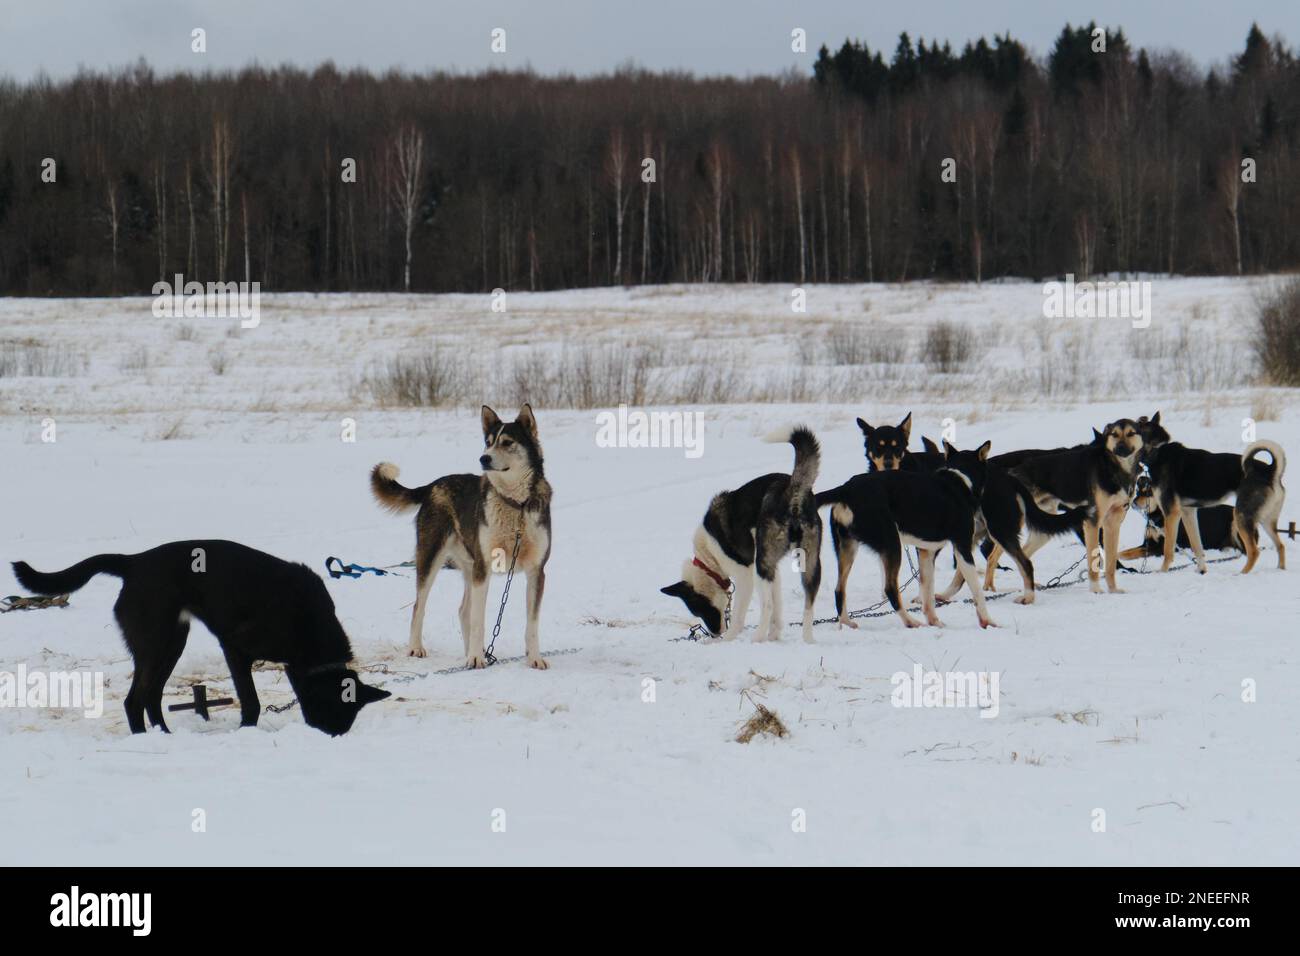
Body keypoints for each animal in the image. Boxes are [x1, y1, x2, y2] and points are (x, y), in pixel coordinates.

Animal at [11, 541, 390, 738]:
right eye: (330, 712)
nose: (329, 738)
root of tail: (134, 562)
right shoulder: (234, 646)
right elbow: (251, 701)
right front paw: (246, 732)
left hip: (172, 643)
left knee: (152, 696)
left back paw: (165, 736)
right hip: (155, 643)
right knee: (135, 700)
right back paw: (147, 739)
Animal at [377, 408, 559, 671]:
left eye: (507, 442)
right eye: (488, 442)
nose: (484, 458)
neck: (516, 505)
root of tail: (434, 484)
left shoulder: (536, 571)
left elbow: (531, 625)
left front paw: (534, 658)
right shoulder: (484, 568)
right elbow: (478, 621)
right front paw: (475, 658)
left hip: (469, 566)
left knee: (463, 610)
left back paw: (471, 652)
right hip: (432, 558)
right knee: (419, 606)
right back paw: (418, 648)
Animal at [660, 429, 821, 647]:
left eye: (699, 609)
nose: (715, 633)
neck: (709, 559)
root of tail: (793, 489)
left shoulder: (745, 575)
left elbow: (739, 617)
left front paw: (726, 640)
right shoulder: (773, 569)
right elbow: (778, 607)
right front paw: (775, 635)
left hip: (761, 567)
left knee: (767, 605)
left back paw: (757, 638)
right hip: (805, 562)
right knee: (808, 601)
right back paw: (808, 639)